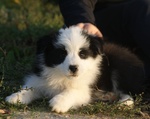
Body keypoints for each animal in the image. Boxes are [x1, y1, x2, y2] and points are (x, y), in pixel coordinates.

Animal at [5, 26, 145, 113]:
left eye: (82, 54)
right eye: (62, 54)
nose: (73, 68)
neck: (62, 76)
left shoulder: (86, 88)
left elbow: (73, 91)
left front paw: (59, 102)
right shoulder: (40, 77)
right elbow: (31, 87)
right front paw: (16, 97)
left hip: (121, 69)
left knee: (131, 92)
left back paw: (123, 104)